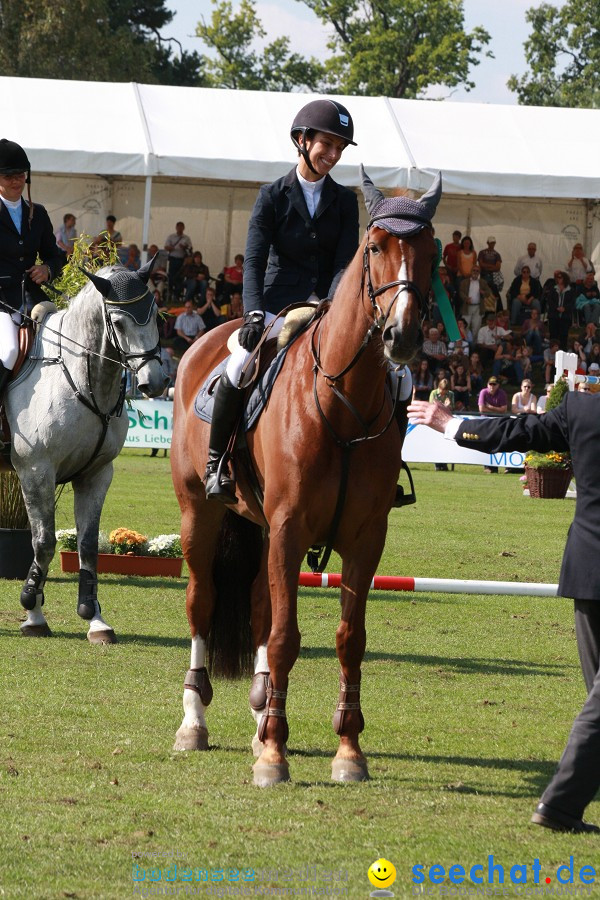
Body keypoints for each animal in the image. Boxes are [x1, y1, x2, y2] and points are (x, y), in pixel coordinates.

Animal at [8, 256, 169, 644]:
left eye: (155, 317)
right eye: (119, 322)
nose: (153, 383)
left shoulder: (96, 475)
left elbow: (87, 545)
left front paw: (94, 618)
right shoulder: (36, 471)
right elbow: (44, 542)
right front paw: (32, 611)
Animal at [170, 171, 440, 788]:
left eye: (432, 251)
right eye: (375, 247)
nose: (402, 336)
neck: (342, 404)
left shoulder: (364, 539)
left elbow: (348, 639)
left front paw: (347, 750)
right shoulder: (291, 527)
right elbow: (286, 637)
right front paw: (275, 756)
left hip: (263, 529)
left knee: (257, 607)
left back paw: (259, 714)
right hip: (202, 515)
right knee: (203, 602)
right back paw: (195, 722)